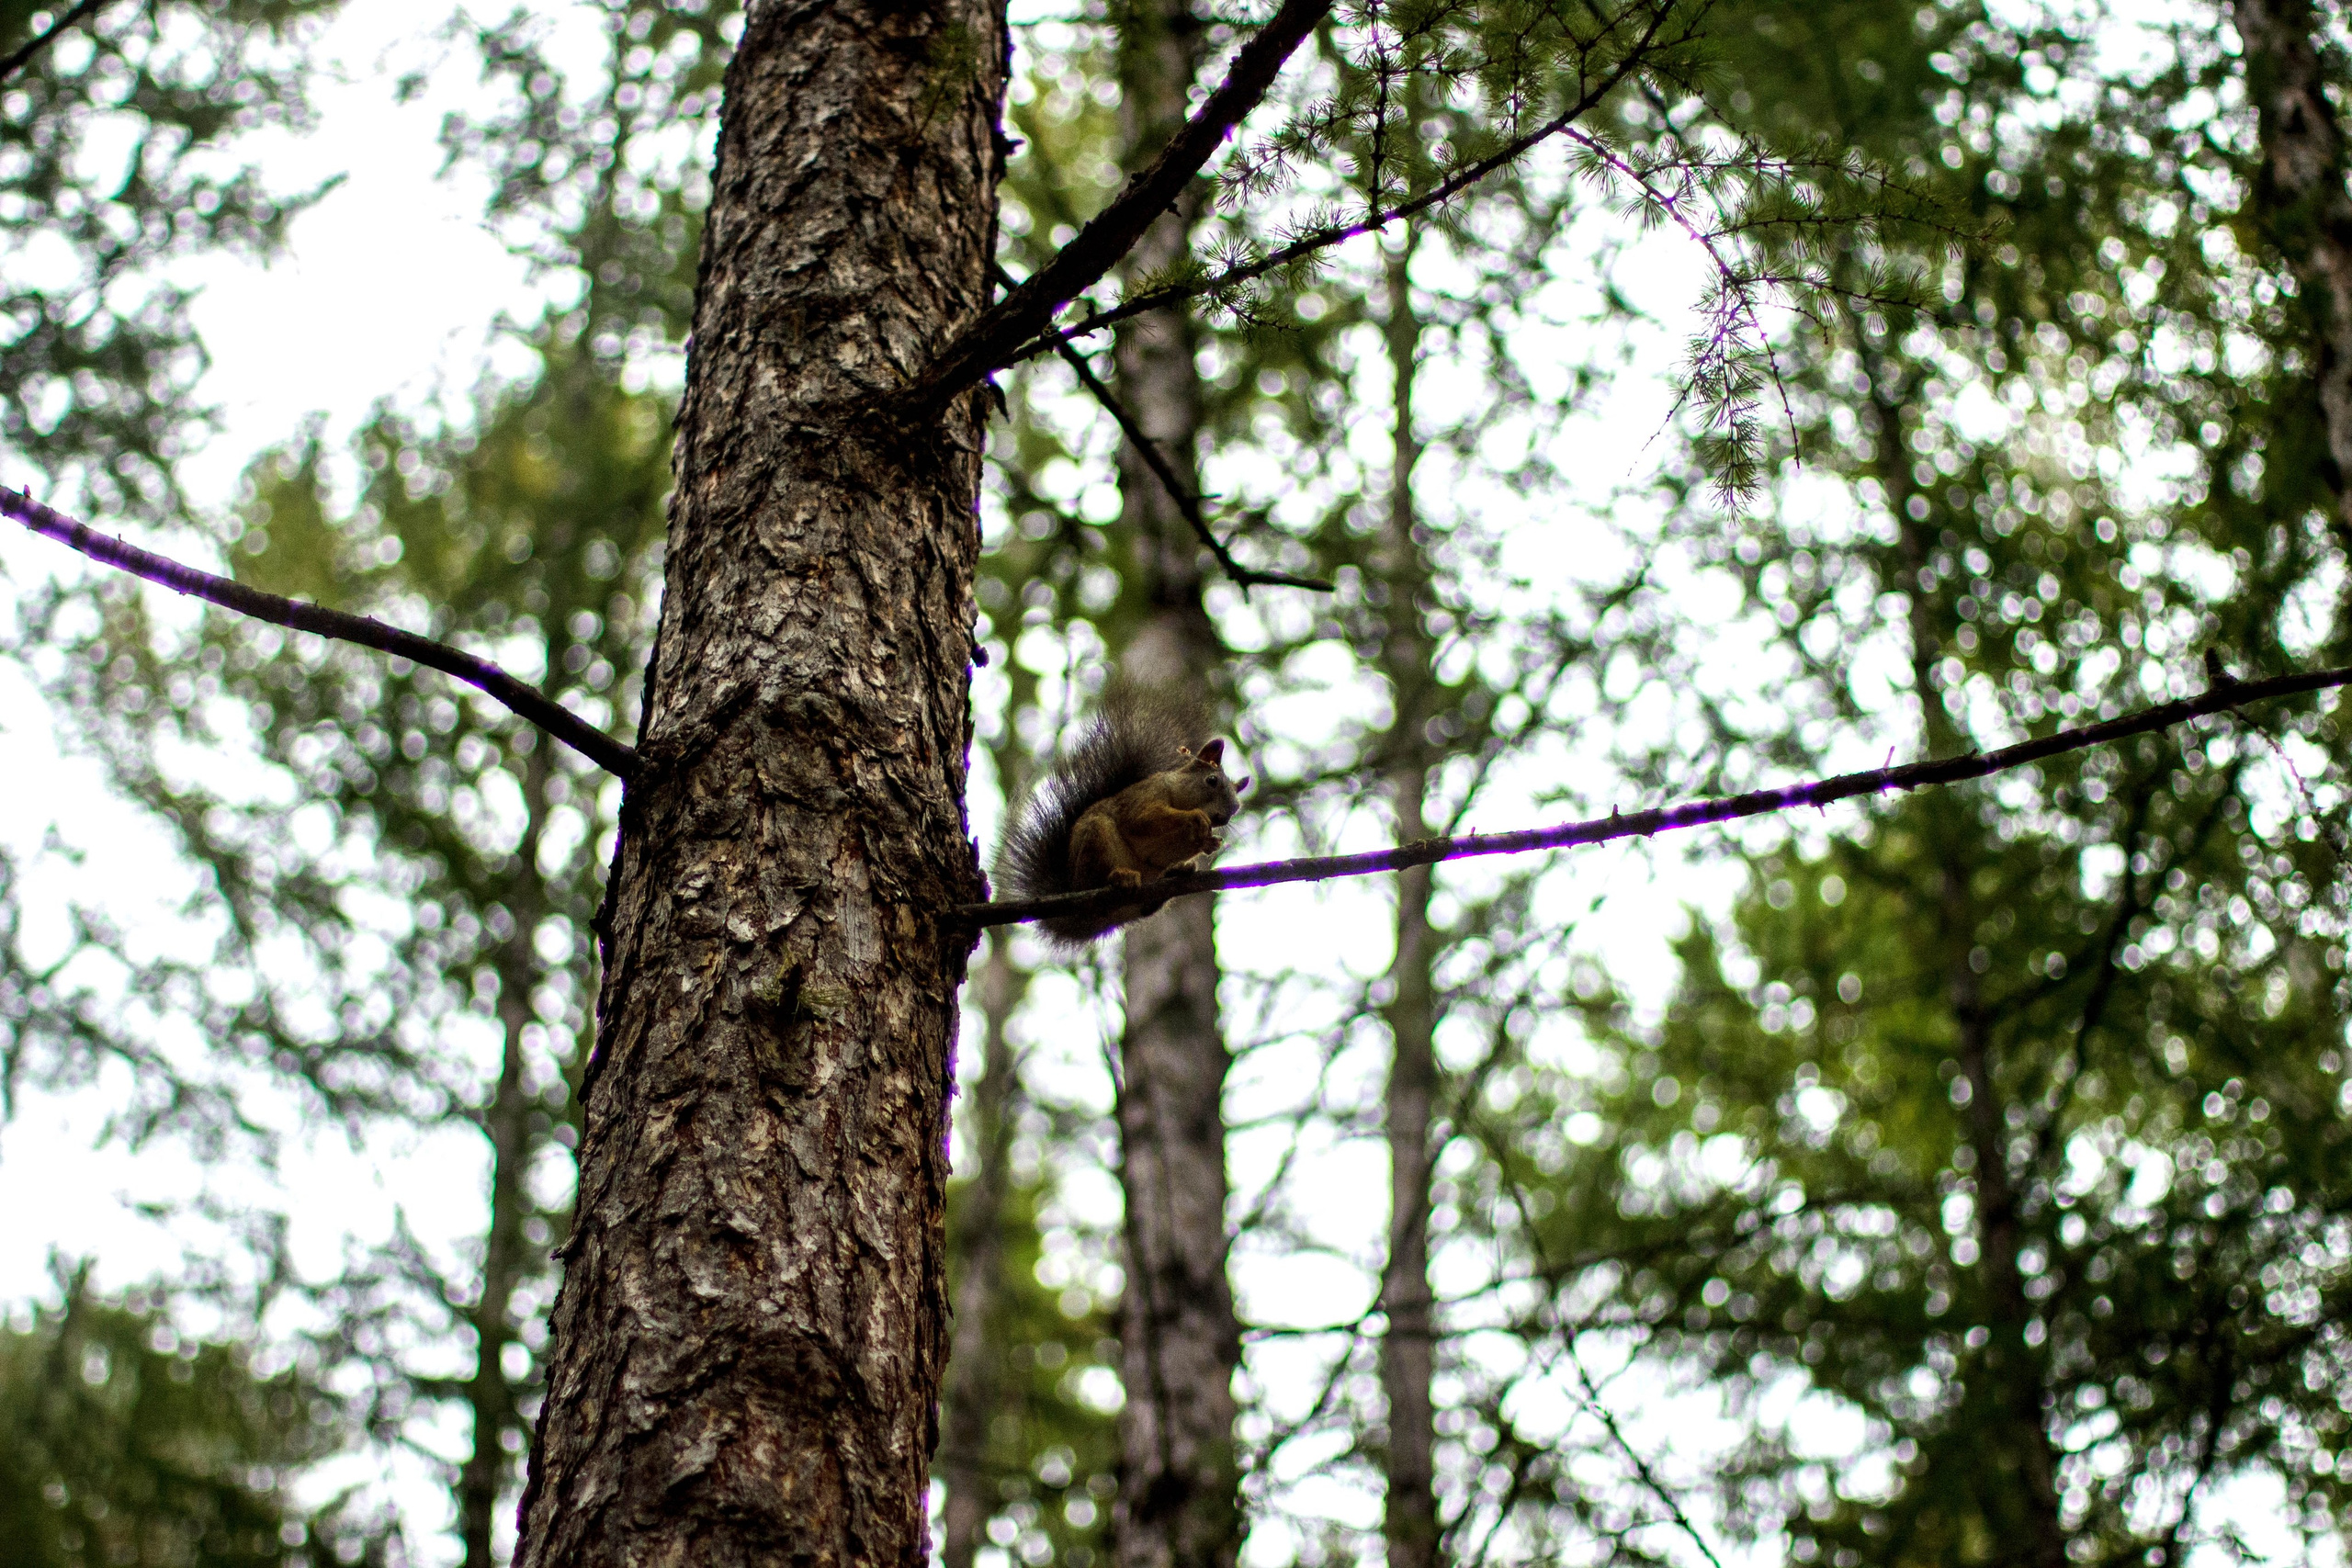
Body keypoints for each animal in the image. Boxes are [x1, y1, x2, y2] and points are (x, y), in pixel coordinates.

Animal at [995, 690, 1248, 947]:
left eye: (1236, 808)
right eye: (1211, 781)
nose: (1221, 818)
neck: (1176, 794)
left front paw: (1209, 842)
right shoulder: (1144, 798)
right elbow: (1143, 820)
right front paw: (1195, 818)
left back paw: (1175, 874)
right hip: (1095, 840)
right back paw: (1120, 877)